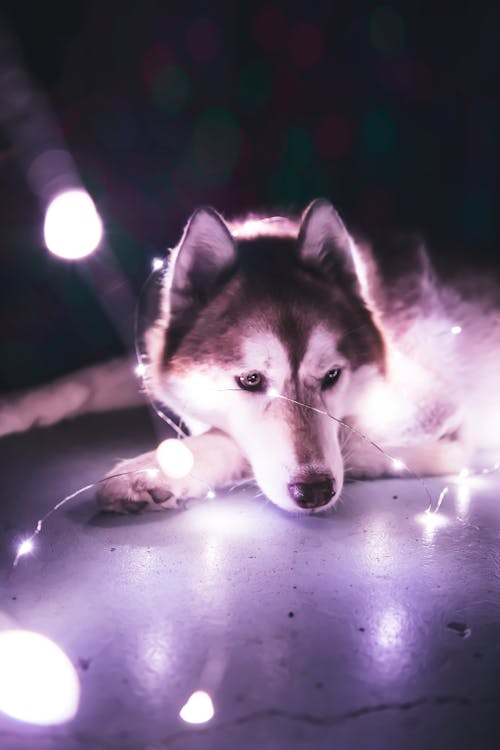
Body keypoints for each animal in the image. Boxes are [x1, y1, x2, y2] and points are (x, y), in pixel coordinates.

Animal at [0, 203, 500, 516]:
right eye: (251, 380)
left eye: (332, 375)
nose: (315, 493)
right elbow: (86, 379)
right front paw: (15, 409)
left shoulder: (435, 412)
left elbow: (234, 439)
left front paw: (152, 470)